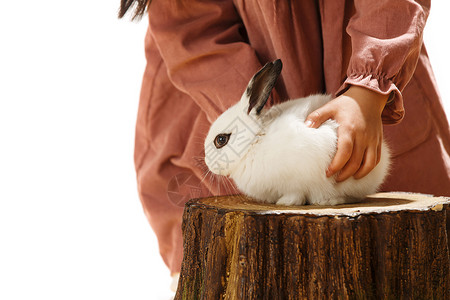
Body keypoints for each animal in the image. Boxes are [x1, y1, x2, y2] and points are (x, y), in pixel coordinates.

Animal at [205, 59, 390, 205]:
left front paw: (285, 202)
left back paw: (329, 200)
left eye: (221, 140)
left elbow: (296, 193)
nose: (208, 164)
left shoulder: (298, 181)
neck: (255, 141)